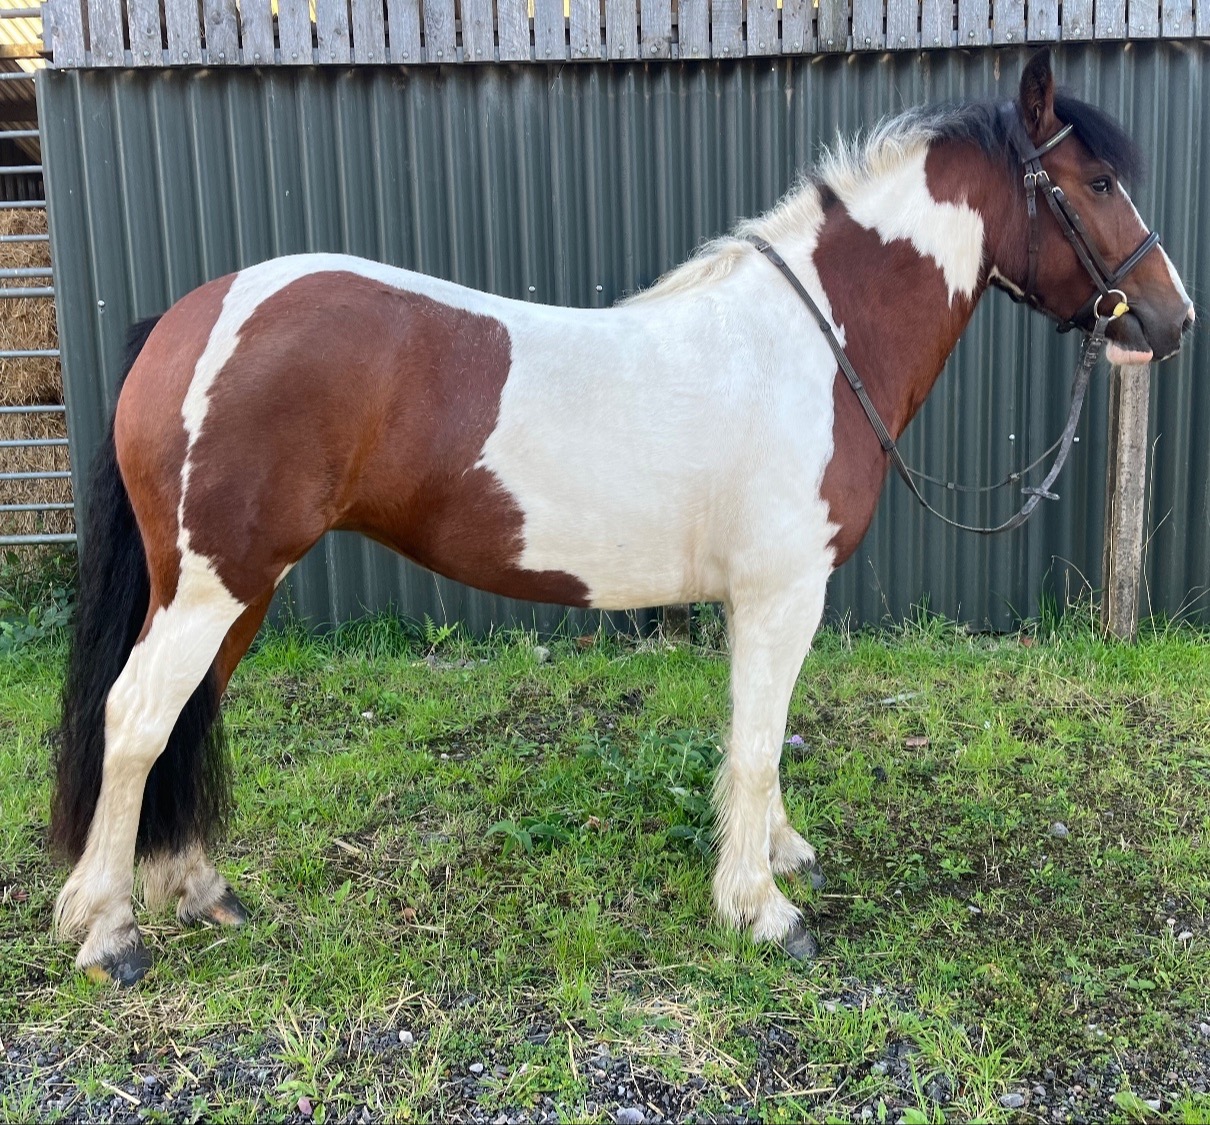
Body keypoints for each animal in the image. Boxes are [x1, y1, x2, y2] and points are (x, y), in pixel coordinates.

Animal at [49, 49, 1193, 985]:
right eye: (1096, 183)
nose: (1172, 318)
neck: (817, 344)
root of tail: (189, 316)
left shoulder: (763, 597)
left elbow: (760, 731)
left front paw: (778, 855)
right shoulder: (782, 593)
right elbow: (758, 742)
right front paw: (761, 909)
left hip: (230, 589)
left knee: (186, 715)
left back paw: (198, 891)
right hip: (216, 585)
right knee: (137, 717)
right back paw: (107, 931)